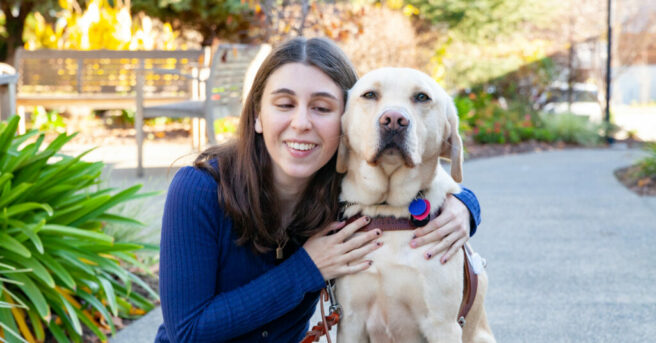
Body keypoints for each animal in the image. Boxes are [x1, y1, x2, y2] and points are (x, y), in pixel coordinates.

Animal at [336, 68, 494, 343]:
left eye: (421, 97)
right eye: (369, 94)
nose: (393, 120)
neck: (388, 211)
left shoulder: (443, 325)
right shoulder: (350, 322)